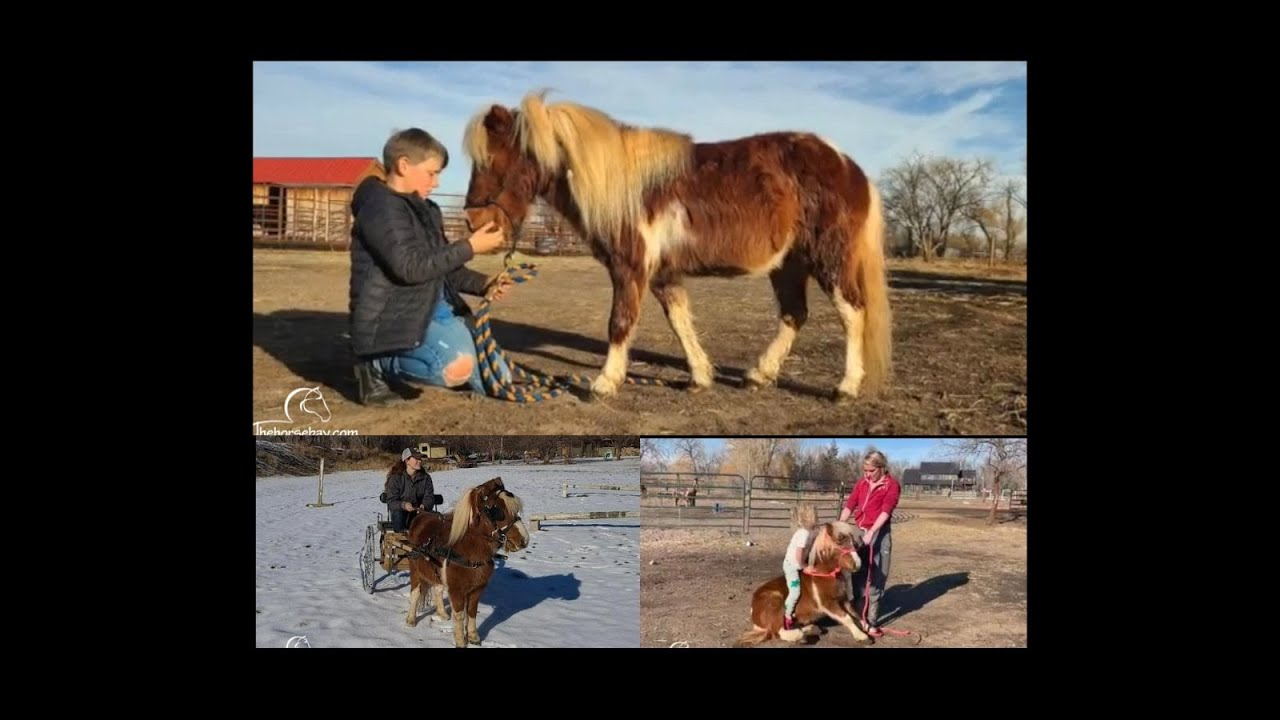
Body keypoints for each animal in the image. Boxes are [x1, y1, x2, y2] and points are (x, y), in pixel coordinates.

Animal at [403, 477, 530, 647]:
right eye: (497, 510)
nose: (524, 540)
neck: (467, 549)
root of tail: (419, 515)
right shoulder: (457, 590)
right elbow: (459, 615)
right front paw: (460, 640)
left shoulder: (477, 589)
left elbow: (471, 612)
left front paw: (473, 637)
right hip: (415, 569)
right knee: (416, 593)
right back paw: (411, 619)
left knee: (437, 589)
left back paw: (442, 613)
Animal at [461, 90, 891, 403]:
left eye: (493, 159)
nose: (474, 223)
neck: (624, 187)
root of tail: (849, 166)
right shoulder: (662, 274)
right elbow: (680, 322)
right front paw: (700, 377)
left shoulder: (630, 267)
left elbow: (620, 322)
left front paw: (604, 383)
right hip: (788, 264)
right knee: (794, 314)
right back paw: (759, 374)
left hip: (829, 259)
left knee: (852, 312)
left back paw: (845, 387)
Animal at [736, 520, 870, 646]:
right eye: (839, 542)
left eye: (853, 543)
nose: (857, 564)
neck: (823, 574)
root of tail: (754, 610)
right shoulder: (828, 603)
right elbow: (847, 618)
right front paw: (862, 637)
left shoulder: (843, 600)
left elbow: (856, 614)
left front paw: (868, 628)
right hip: (776, 605)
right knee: (778, 631)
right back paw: (800, 636)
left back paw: (810, 629)